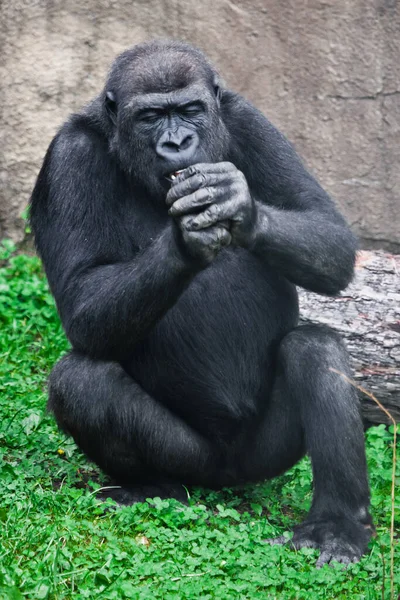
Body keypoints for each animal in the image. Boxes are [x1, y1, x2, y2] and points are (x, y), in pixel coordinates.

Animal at [29, 39, 374, 564]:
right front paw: (184, 242)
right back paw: (151, 485)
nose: (177, 144)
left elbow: (328, 232)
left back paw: (337, 525)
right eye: (151, 117)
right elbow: (84, 300)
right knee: (81, 381)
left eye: (190, 110)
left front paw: (238, 204)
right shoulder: (67, 157)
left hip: (268, 456)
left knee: (315, 349)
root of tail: (229, 476)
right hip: (193, 459)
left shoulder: (248, 118)